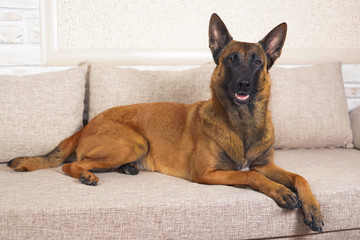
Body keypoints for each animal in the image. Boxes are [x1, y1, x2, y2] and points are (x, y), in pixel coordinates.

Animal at [7, 13, 324, 232]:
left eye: (257, 62)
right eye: (231, 59)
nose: (243, 84)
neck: (241, 123)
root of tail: (87, 124)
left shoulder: (266, 165)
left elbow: (300, 177)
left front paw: (312, 208)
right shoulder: (208, 174)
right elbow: (250, 177)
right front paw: (281, 192)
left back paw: (126, 169)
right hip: (134, 142)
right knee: (70, 165)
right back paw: (87, 175)